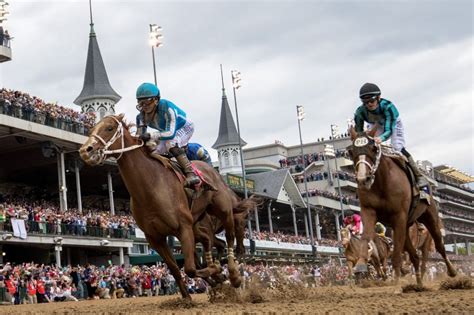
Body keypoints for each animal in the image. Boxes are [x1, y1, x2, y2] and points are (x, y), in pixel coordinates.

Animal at [79, 115, 241, 300]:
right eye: (92, 128)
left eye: (109, 128)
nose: (85, 150)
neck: (151, 186)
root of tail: (211, 170)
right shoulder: (155, 238)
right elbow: (176, 269)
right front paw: (188, 298)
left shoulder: (183, 228)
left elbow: (190, 269)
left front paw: (217, 270)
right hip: (197, 223)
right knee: (213, 242)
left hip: (223, 211)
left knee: (229, 237)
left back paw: (233, 274)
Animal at [348, 127, 456, 286]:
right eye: (351, 151)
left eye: (373, 148)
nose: (363, 179)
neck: (382, 183)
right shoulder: (369, 211)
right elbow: (366, 237)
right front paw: (361, 264)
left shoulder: (399, 216)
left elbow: (397, 253)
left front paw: (396, 279)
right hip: (406, 225)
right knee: (414, 256)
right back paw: (419, 283)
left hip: (429, 217)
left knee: (438, 246)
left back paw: (452, 271)